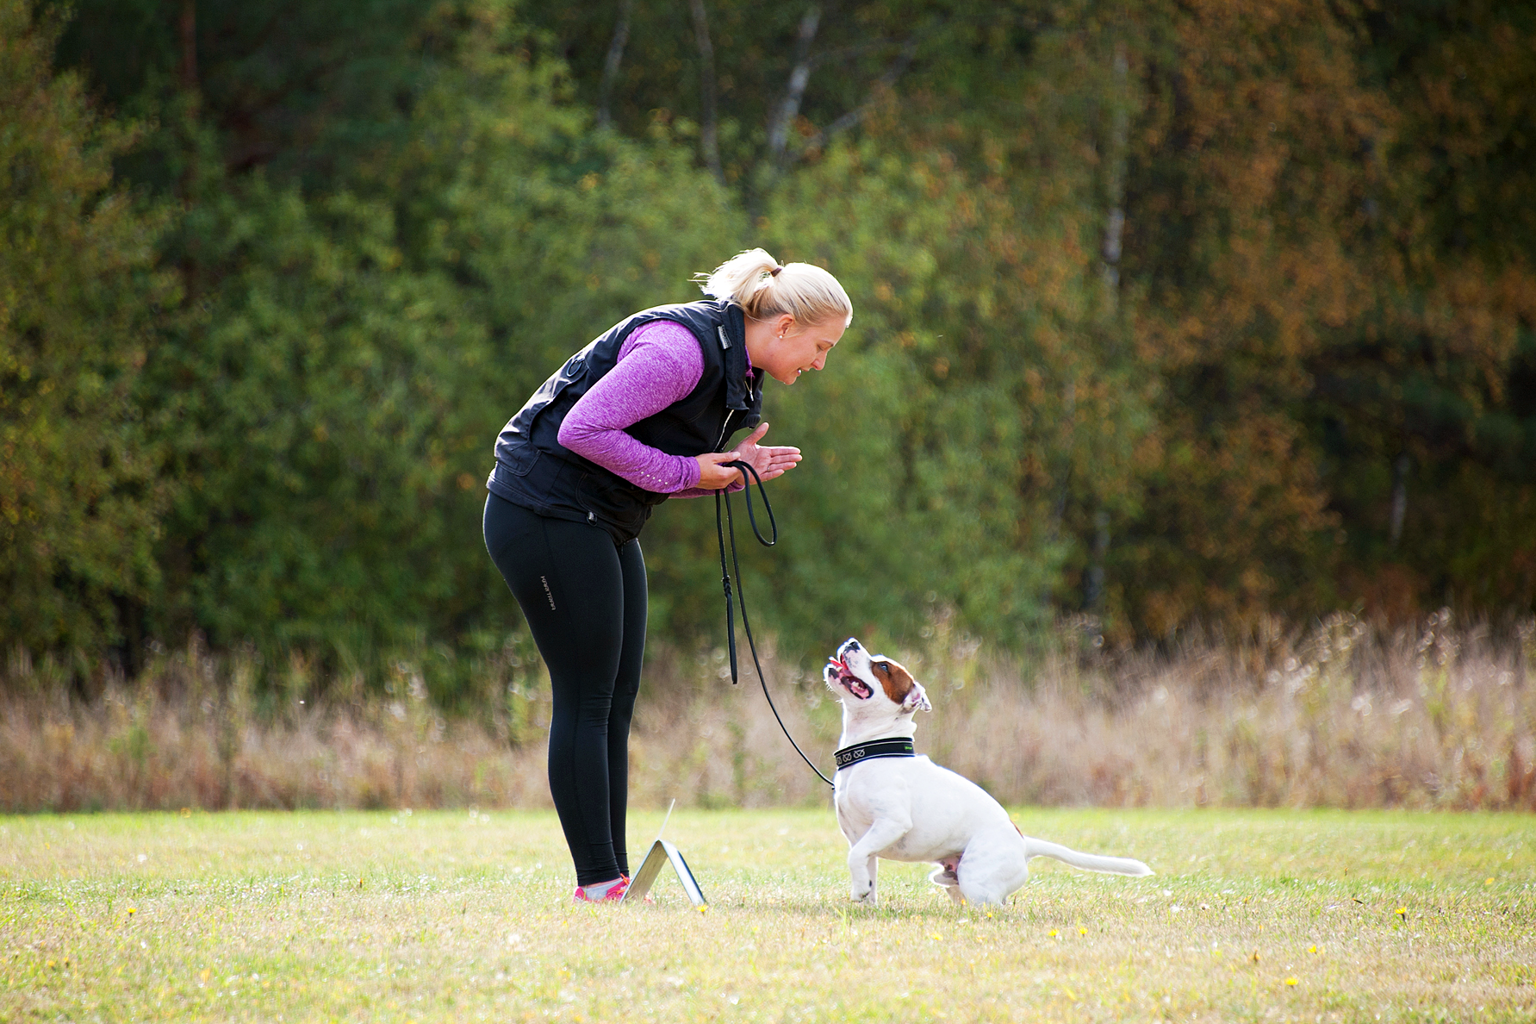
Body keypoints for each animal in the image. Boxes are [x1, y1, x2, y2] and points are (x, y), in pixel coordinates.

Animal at [823, 635, 1148, 908]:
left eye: (882, 667)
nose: (851, 641)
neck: (872, 750)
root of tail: (1023, 842)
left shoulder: (891, 823)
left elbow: (854, 856)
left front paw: (860, 892)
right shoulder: (864, 837)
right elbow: (864, 866)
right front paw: (864, 899)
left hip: (976, 881)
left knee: (996, 908)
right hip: (958, 880)